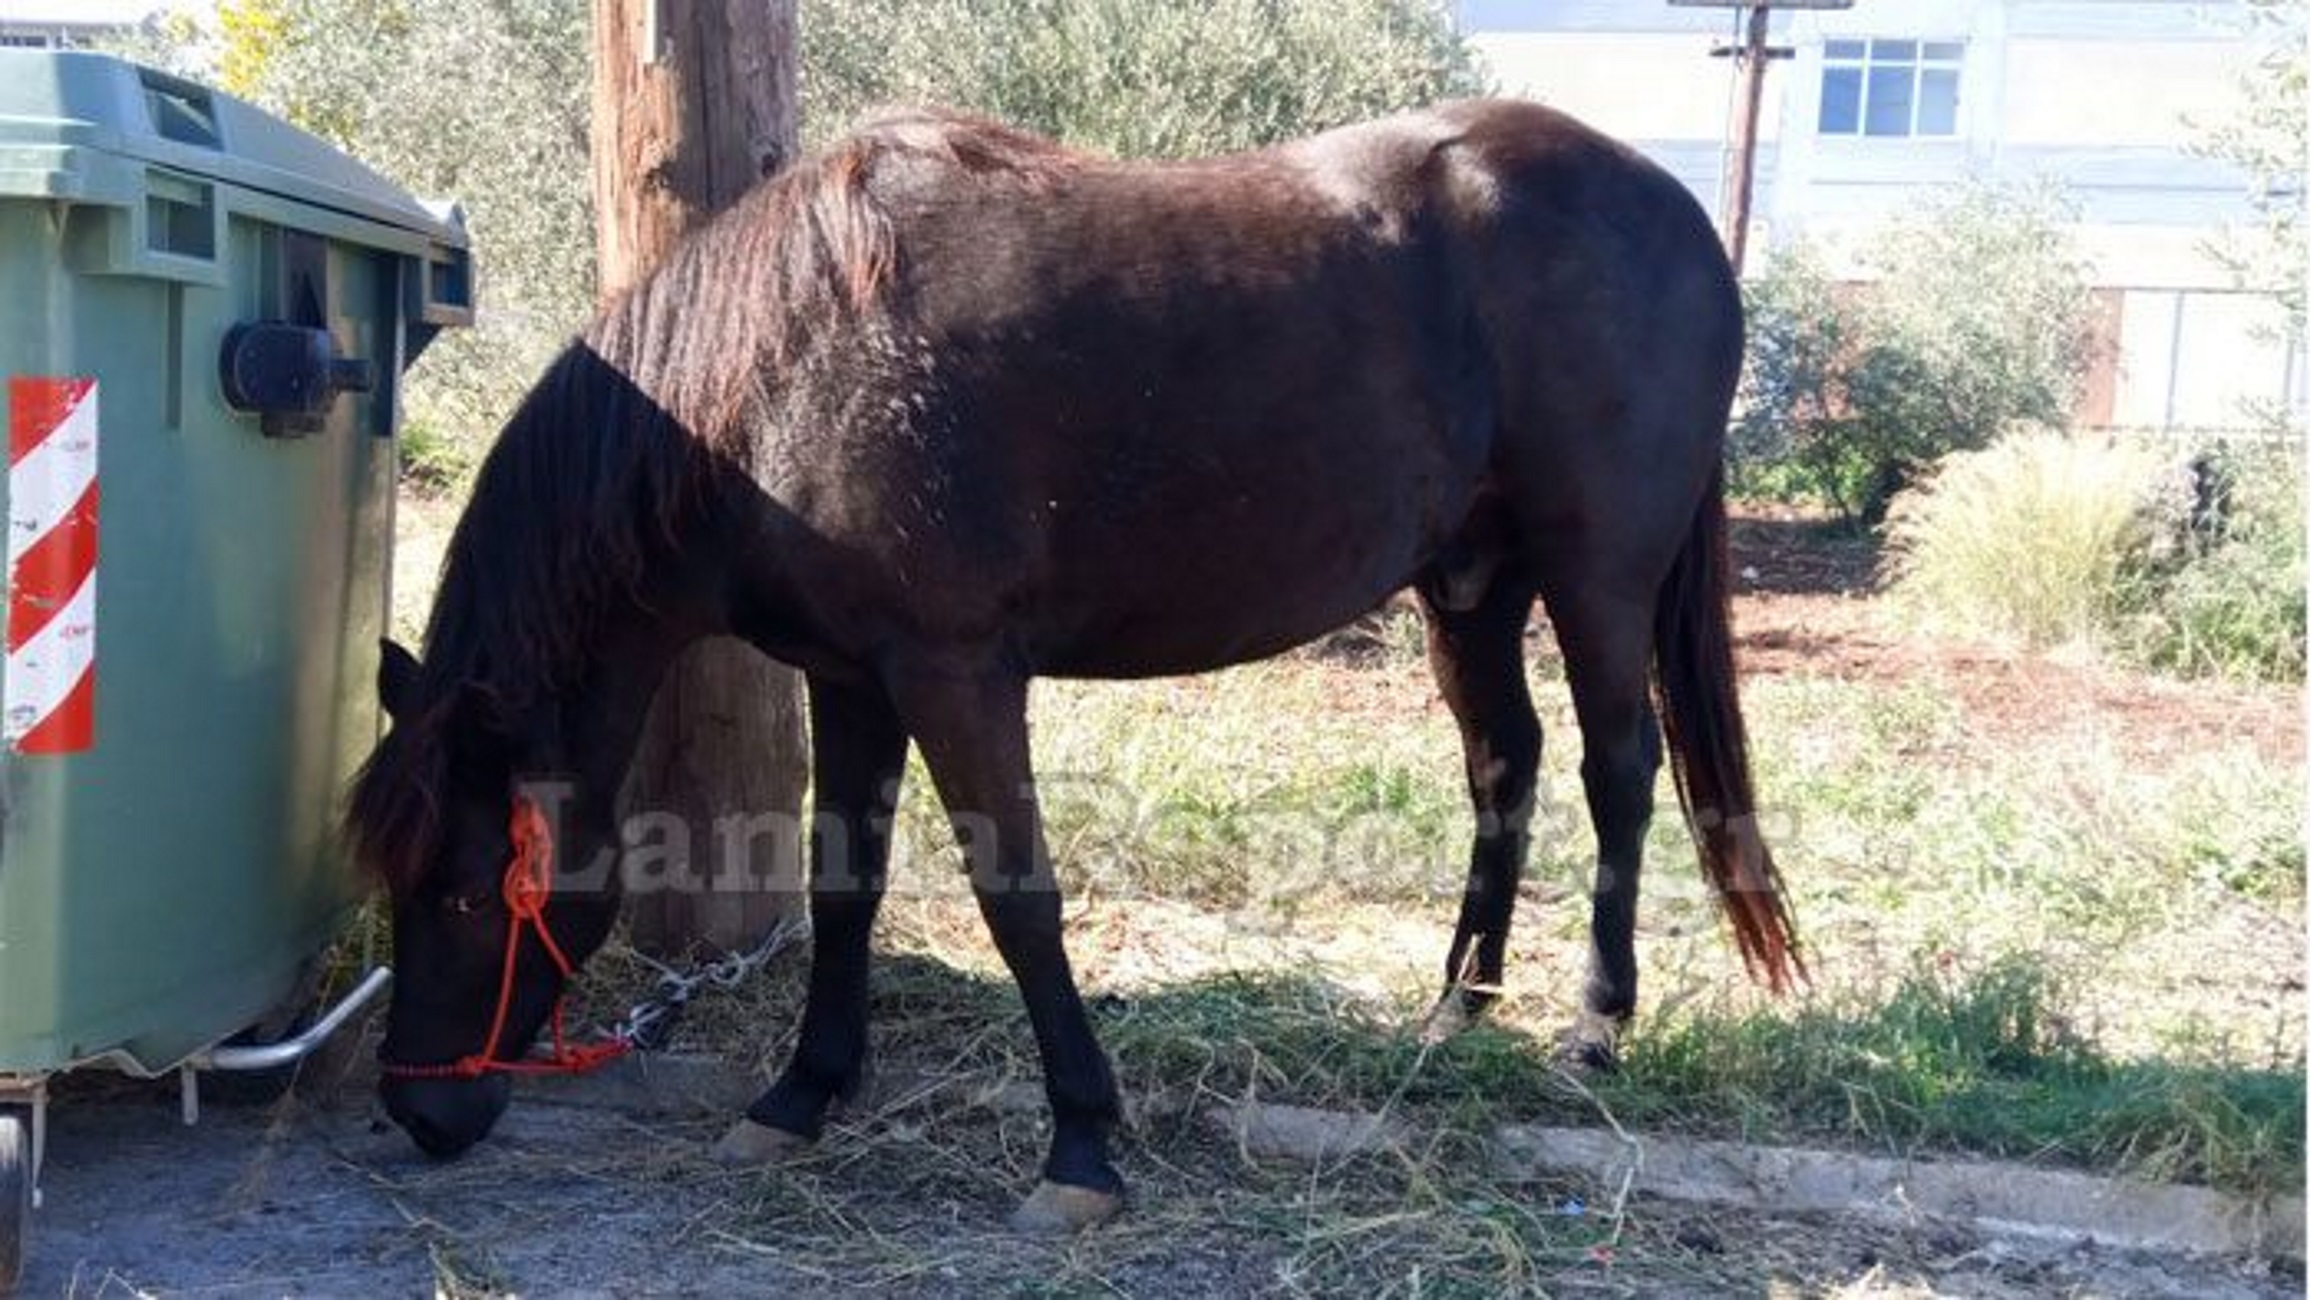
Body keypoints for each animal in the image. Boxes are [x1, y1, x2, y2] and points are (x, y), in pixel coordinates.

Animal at [341, 99, 1792, 1228]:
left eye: (468, 889)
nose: (414, 1113)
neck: (790, 365)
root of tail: (1668, 207)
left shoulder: (956, 676)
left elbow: (1016, 897)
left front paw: (1082, 1146)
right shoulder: (849, 678)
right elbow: (841, 886)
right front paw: (800, 1094)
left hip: (1596, 576)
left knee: (1618, 768)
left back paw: (1594, 1023)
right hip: (1470, 583)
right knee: (1505, 762)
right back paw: (1456, 1007)